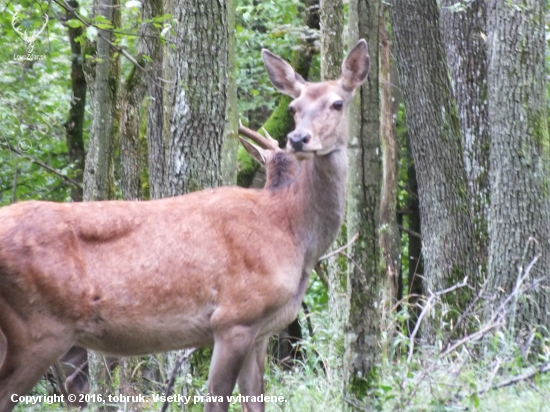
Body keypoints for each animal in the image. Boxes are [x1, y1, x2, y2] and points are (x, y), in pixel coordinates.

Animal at [1, 39, 370, 412]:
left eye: (337, 103)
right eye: (294, 107)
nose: (298, 139)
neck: (289, 230)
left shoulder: (262, 330)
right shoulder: (235, 317)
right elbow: (216, 400)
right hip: (39, 326)